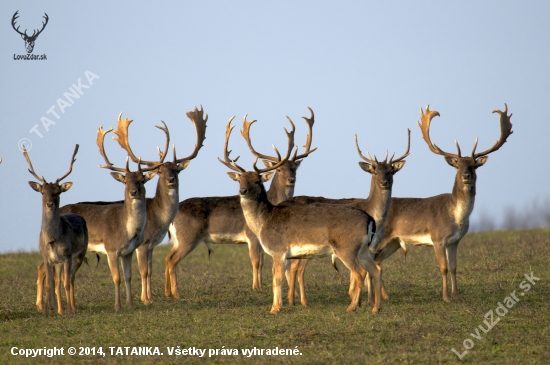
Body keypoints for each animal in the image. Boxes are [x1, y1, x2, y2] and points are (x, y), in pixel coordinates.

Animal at [26, 144, 88, 314]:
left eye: (57, 191)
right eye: (43, 191)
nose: (50, 204)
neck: (53, 239)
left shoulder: (67, 255)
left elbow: (67, 283)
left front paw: (70, 311)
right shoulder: (48, 258)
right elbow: (50, 284)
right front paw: (48, 311)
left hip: (79, 254)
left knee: (70, 279)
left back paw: (72, 307)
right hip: (58, 262)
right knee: (58, 280)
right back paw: (59, 309)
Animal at [164, 106, 314, 298]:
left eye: (294, 168)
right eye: (279, 169)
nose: (291, 179)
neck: (273, 201)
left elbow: (262, 261)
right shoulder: (251, 235)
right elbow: (257, 261)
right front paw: (256, 287)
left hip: (178, 239)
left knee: (167, 258)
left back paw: (168, 293)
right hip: (187, 237)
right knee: (172, 260)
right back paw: (176, 293)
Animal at [221, 114, 384, 312]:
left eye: (257, 180)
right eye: (240, 180)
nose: (242, 191)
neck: (264, 222)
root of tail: (369, 219)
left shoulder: (278, 249)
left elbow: (277, 279)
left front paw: (275, 309)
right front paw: (278, 306)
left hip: (347, 247)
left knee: (360, 272)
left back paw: (351, 308)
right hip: (363, 249)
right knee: (375, 269)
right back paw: (375, 308)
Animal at [284, 129, 410, 306]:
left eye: (391, 171)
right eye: (374, 170)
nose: (384, 182)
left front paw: (366, 300)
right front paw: (358, 298)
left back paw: (294, 300)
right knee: (296, 267)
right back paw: (300, 300)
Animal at [374, 104, 516, 300]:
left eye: (474, 165)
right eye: (457, 164)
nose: (466, 175)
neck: (456, 217)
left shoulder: (455, 241)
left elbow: (454, 268)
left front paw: (456, 296)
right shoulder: (438, 238)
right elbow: (444, 268)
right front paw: (446, 297)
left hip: (394, 241)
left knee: (376, 261)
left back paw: (384, 296)